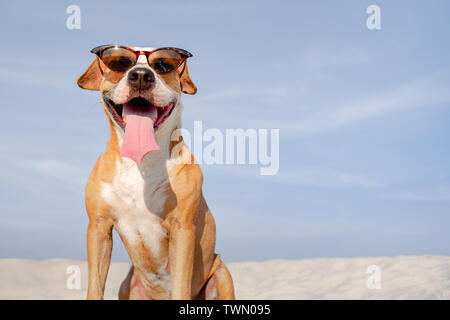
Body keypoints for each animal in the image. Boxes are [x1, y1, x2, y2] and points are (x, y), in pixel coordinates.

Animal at [77, 45, 236, 300]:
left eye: (163, 65)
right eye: (120, 62)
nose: (141, 75)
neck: (140, 163)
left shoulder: (182, 229)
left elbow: (180, 286)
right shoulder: (98, 227)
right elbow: (94, 287)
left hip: (221, 273)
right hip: (127, 285)